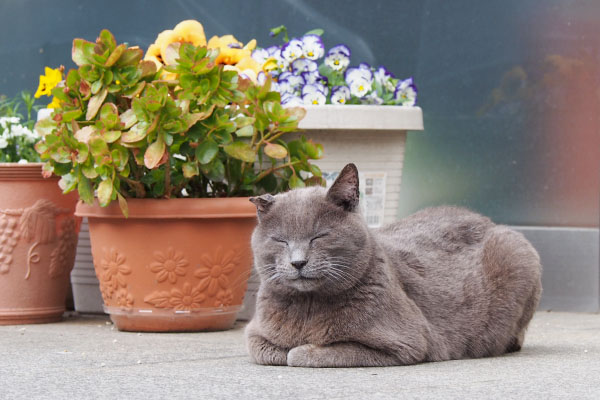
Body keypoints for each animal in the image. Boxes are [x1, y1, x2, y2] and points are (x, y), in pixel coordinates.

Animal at [244, 164, 540, 368]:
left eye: (320, 236)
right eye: (280, 240)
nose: (298, 261)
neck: (307, 307)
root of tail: (488, 221)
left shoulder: (406, 343)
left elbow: (307, 354)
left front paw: (301, 350)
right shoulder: (254, 333)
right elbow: (265, 350)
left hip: (517, 249)